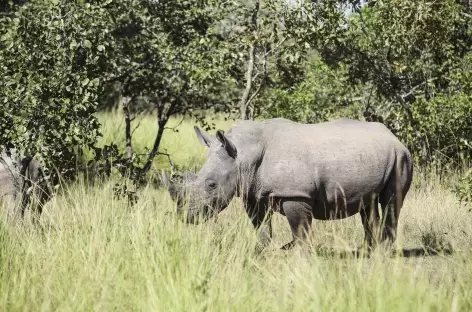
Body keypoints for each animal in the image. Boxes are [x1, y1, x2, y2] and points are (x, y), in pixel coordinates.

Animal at [163, 117, 412, 251]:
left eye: (212, 185)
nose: (186, 216)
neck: (243, 153)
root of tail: (394, 136)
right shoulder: (253, 192)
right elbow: (262, 227)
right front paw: (259, 251)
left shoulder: (296, 194)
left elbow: (300, 230)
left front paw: (296, 253)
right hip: (375, 155)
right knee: (368, 205)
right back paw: (367, 251)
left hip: (400, 156)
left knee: (391, 201)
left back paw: (383, 252)